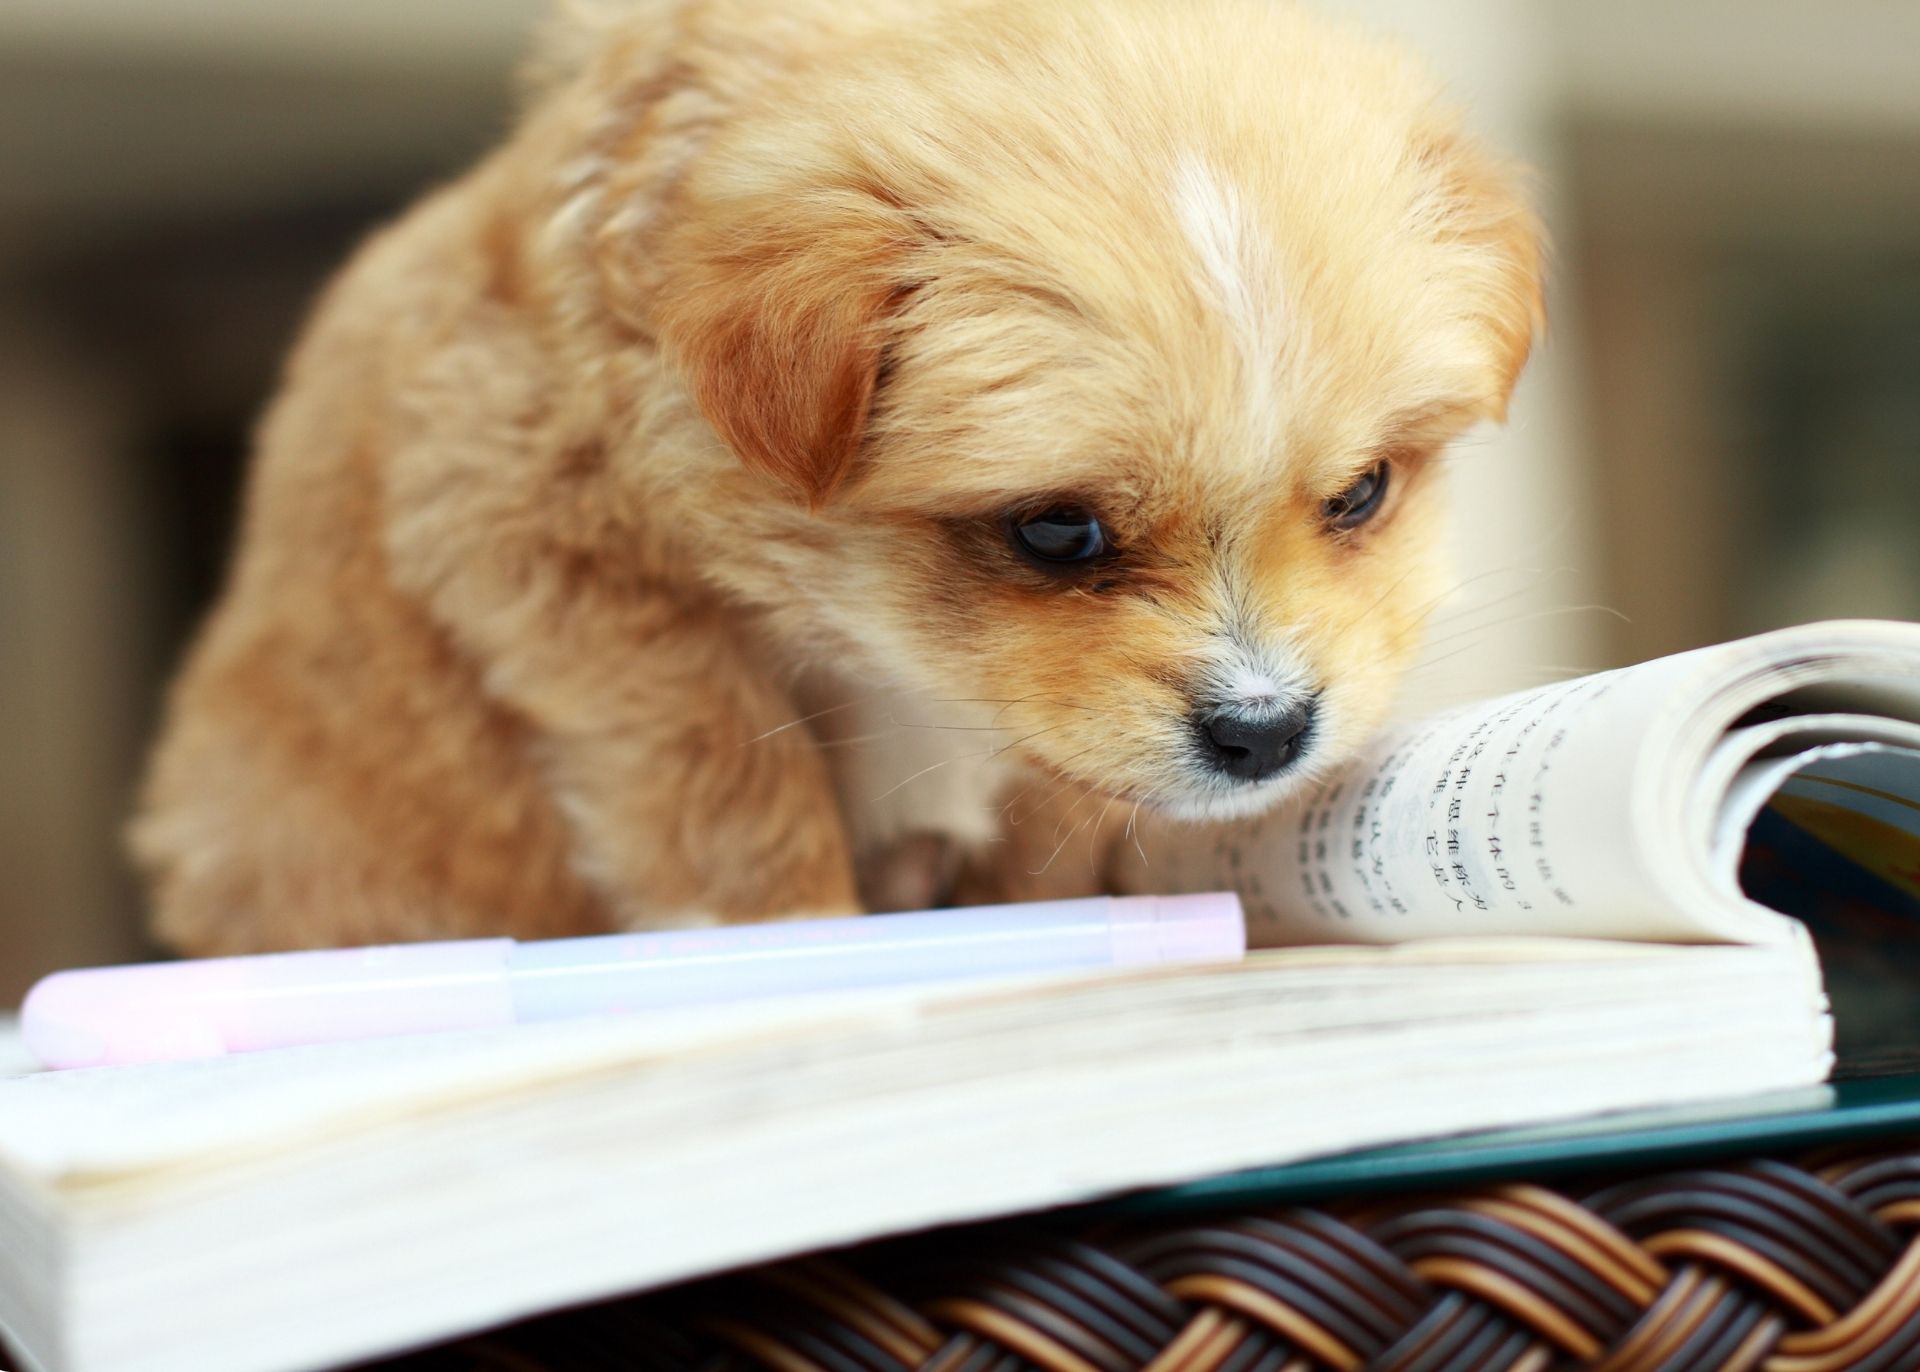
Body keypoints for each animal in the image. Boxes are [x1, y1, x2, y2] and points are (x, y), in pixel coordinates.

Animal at [131, 0, 1543, 955]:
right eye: (1058, 532)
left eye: (1361, 493)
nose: (1265, 733)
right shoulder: (542, 548)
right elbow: (721, 781)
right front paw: (790, 937)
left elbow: (1048, 818)